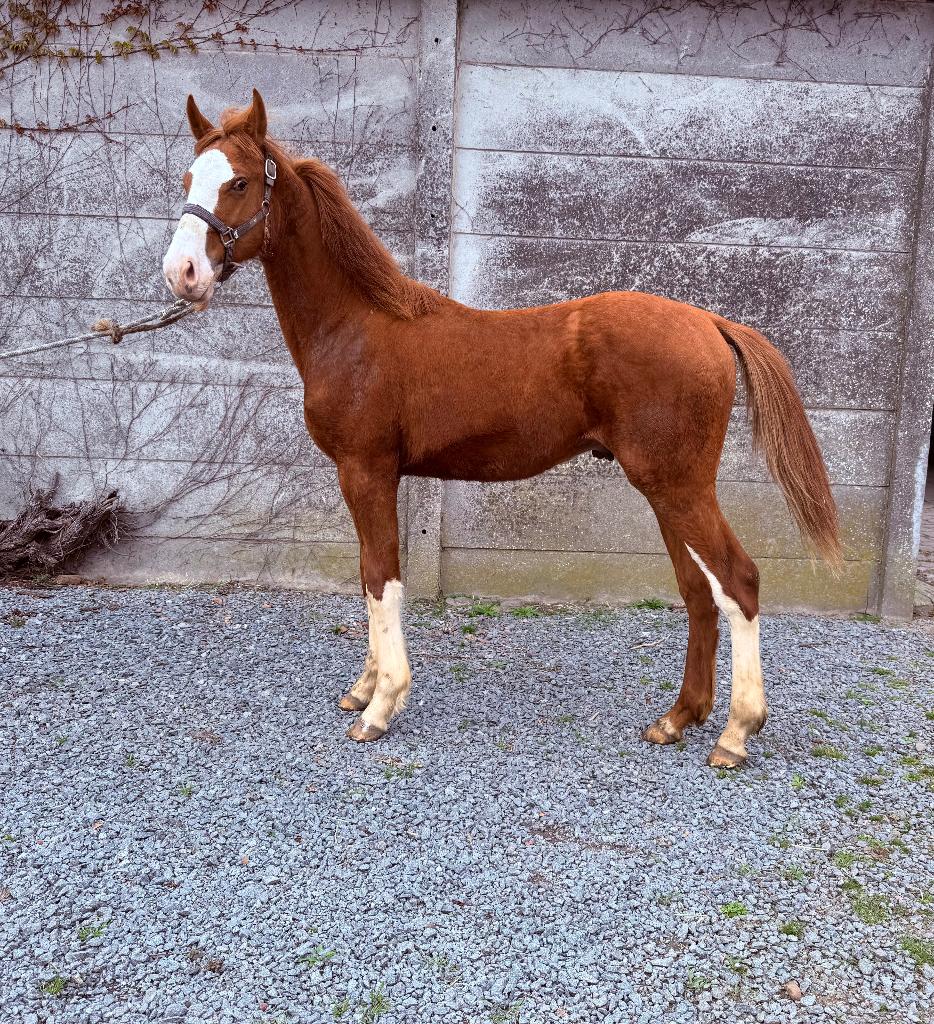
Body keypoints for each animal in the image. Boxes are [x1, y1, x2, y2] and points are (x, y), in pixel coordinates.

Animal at [162, 90, 841, 768]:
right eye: (189, 179)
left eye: (241, 183)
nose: (182, 272)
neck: (357, 327)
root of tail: (710, 322)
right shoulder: (365, 477)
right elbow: (367, 574)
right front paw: (363, 688)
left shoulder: (366, 471)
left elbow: (381, 578)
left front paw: (380, 707)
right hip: (668, 490)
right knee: (699, 591)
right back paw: (677, 719)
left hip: (679, 487)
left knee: (738, 581)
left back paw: (735, 733)